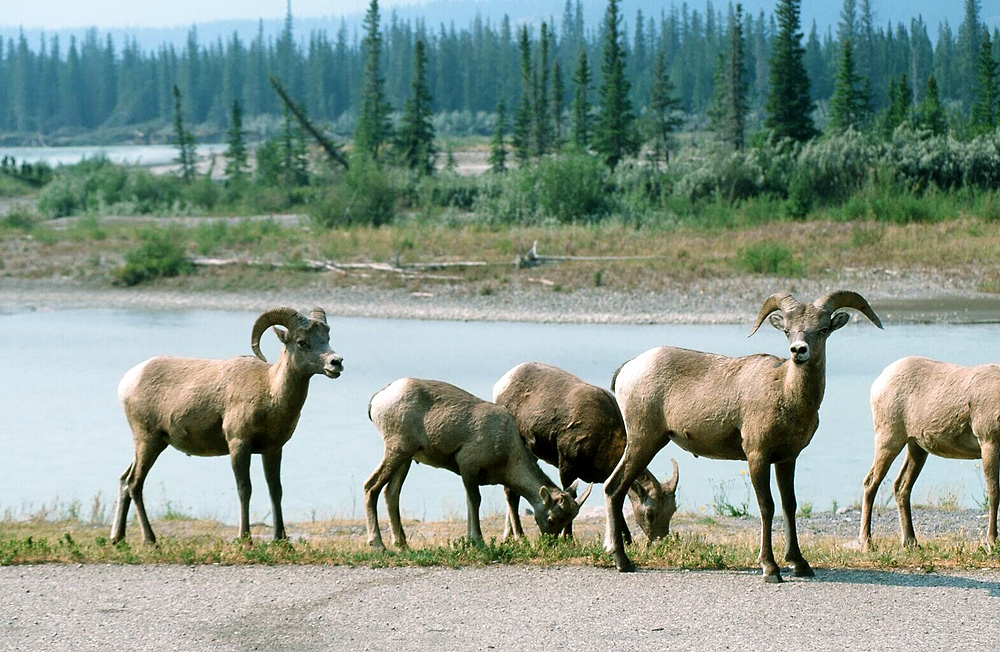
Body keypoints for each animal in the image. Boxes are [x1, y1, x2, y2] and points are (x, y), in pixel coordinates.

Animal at [112, 308, 344, 544]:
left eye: (326, 337)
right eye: (301, 342)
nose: (336, 362)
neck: (269, 391)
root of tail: (128, 380)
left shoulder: (272, 449)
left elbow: (275, 490)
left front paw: (281, 539)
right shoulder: (238, 445)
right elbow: (244, 489)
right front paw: (245, 539)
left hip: (155, 444)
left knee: (124, 480)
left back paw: (118, 538)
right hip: (147, 440)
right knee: (134, 483)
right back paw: (150, 541)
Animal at [366, 376, 584, 552]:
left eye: (569, 518)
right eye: (551, 519)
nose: (551, 543)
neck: (508, 453)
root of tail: (376, 400)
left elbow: (470, 502)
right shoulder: (467, 464)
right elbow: (475, 501)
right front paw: (478, 541)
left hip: (406, 457)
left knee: (391, 493)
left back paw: (402, 545)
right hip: (397, 449)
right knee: (371, 486)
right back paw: (378, 544)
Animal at [494, 362, 680, 540]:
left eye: (673, 510)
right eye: (650, 513)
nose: (659, 540)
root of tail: (500, 384)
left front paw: (627, 539)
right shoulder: (566, 466)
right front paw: (568, 538)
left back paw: (508, 535)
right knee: (510, 491)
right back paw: (518, 535)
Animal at [604, 292, 880, 584]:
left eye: (823, 329)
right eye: (787, 331)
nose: (798, 351)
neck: (786, 392)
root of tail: (627, 369)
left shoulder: (787, 459)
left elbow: (789, 505)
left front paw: (800, 564)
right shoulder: (757, 456)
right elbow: (767, 506)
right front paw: (770, 568)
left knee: (613, 488)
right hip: (644, 441)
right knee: (615, 489)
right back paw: (622, 561)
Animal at [860, 356, 1000, 552]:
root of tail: (879, 382)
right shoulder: (988, 441)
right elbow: (994, 493)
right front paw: (992, 543)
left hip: (916, 446)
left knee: (901, 486)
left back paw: (911, 542)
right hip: (889, 437)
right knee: (871, 483)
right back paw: (867, 543)